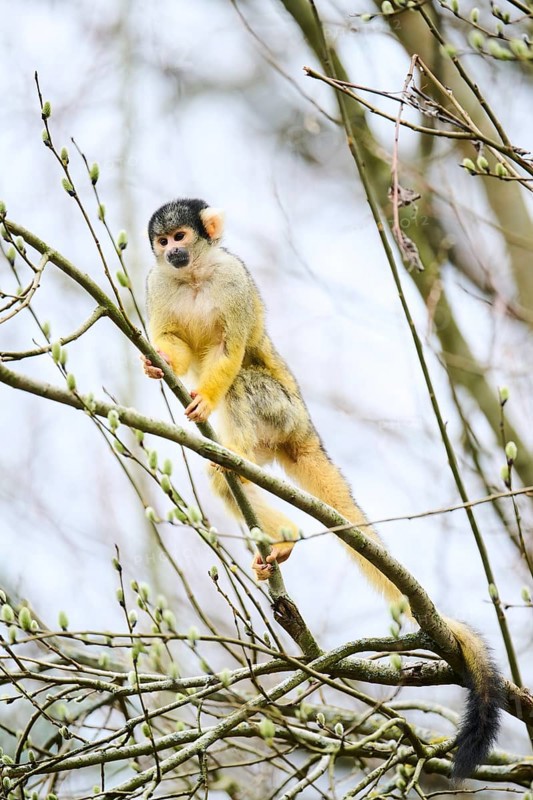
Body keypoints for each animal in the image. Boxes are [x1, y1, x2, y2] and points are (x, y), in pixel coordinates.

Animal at [143, 197, 503, 780]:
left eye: (181, 236)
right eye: (161, 243)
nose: (172, 251)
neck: (194, 275)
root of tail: (305, 431)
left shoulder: (234, 280)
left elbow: (230, 347)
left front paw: (203, 396)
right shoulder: (156, 283)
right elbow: (172, 341)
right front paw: (159, 362)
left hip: (279, 409)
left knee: (243, 388)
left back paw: (252, 485)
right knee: (224, 477)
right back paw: (276, 529)